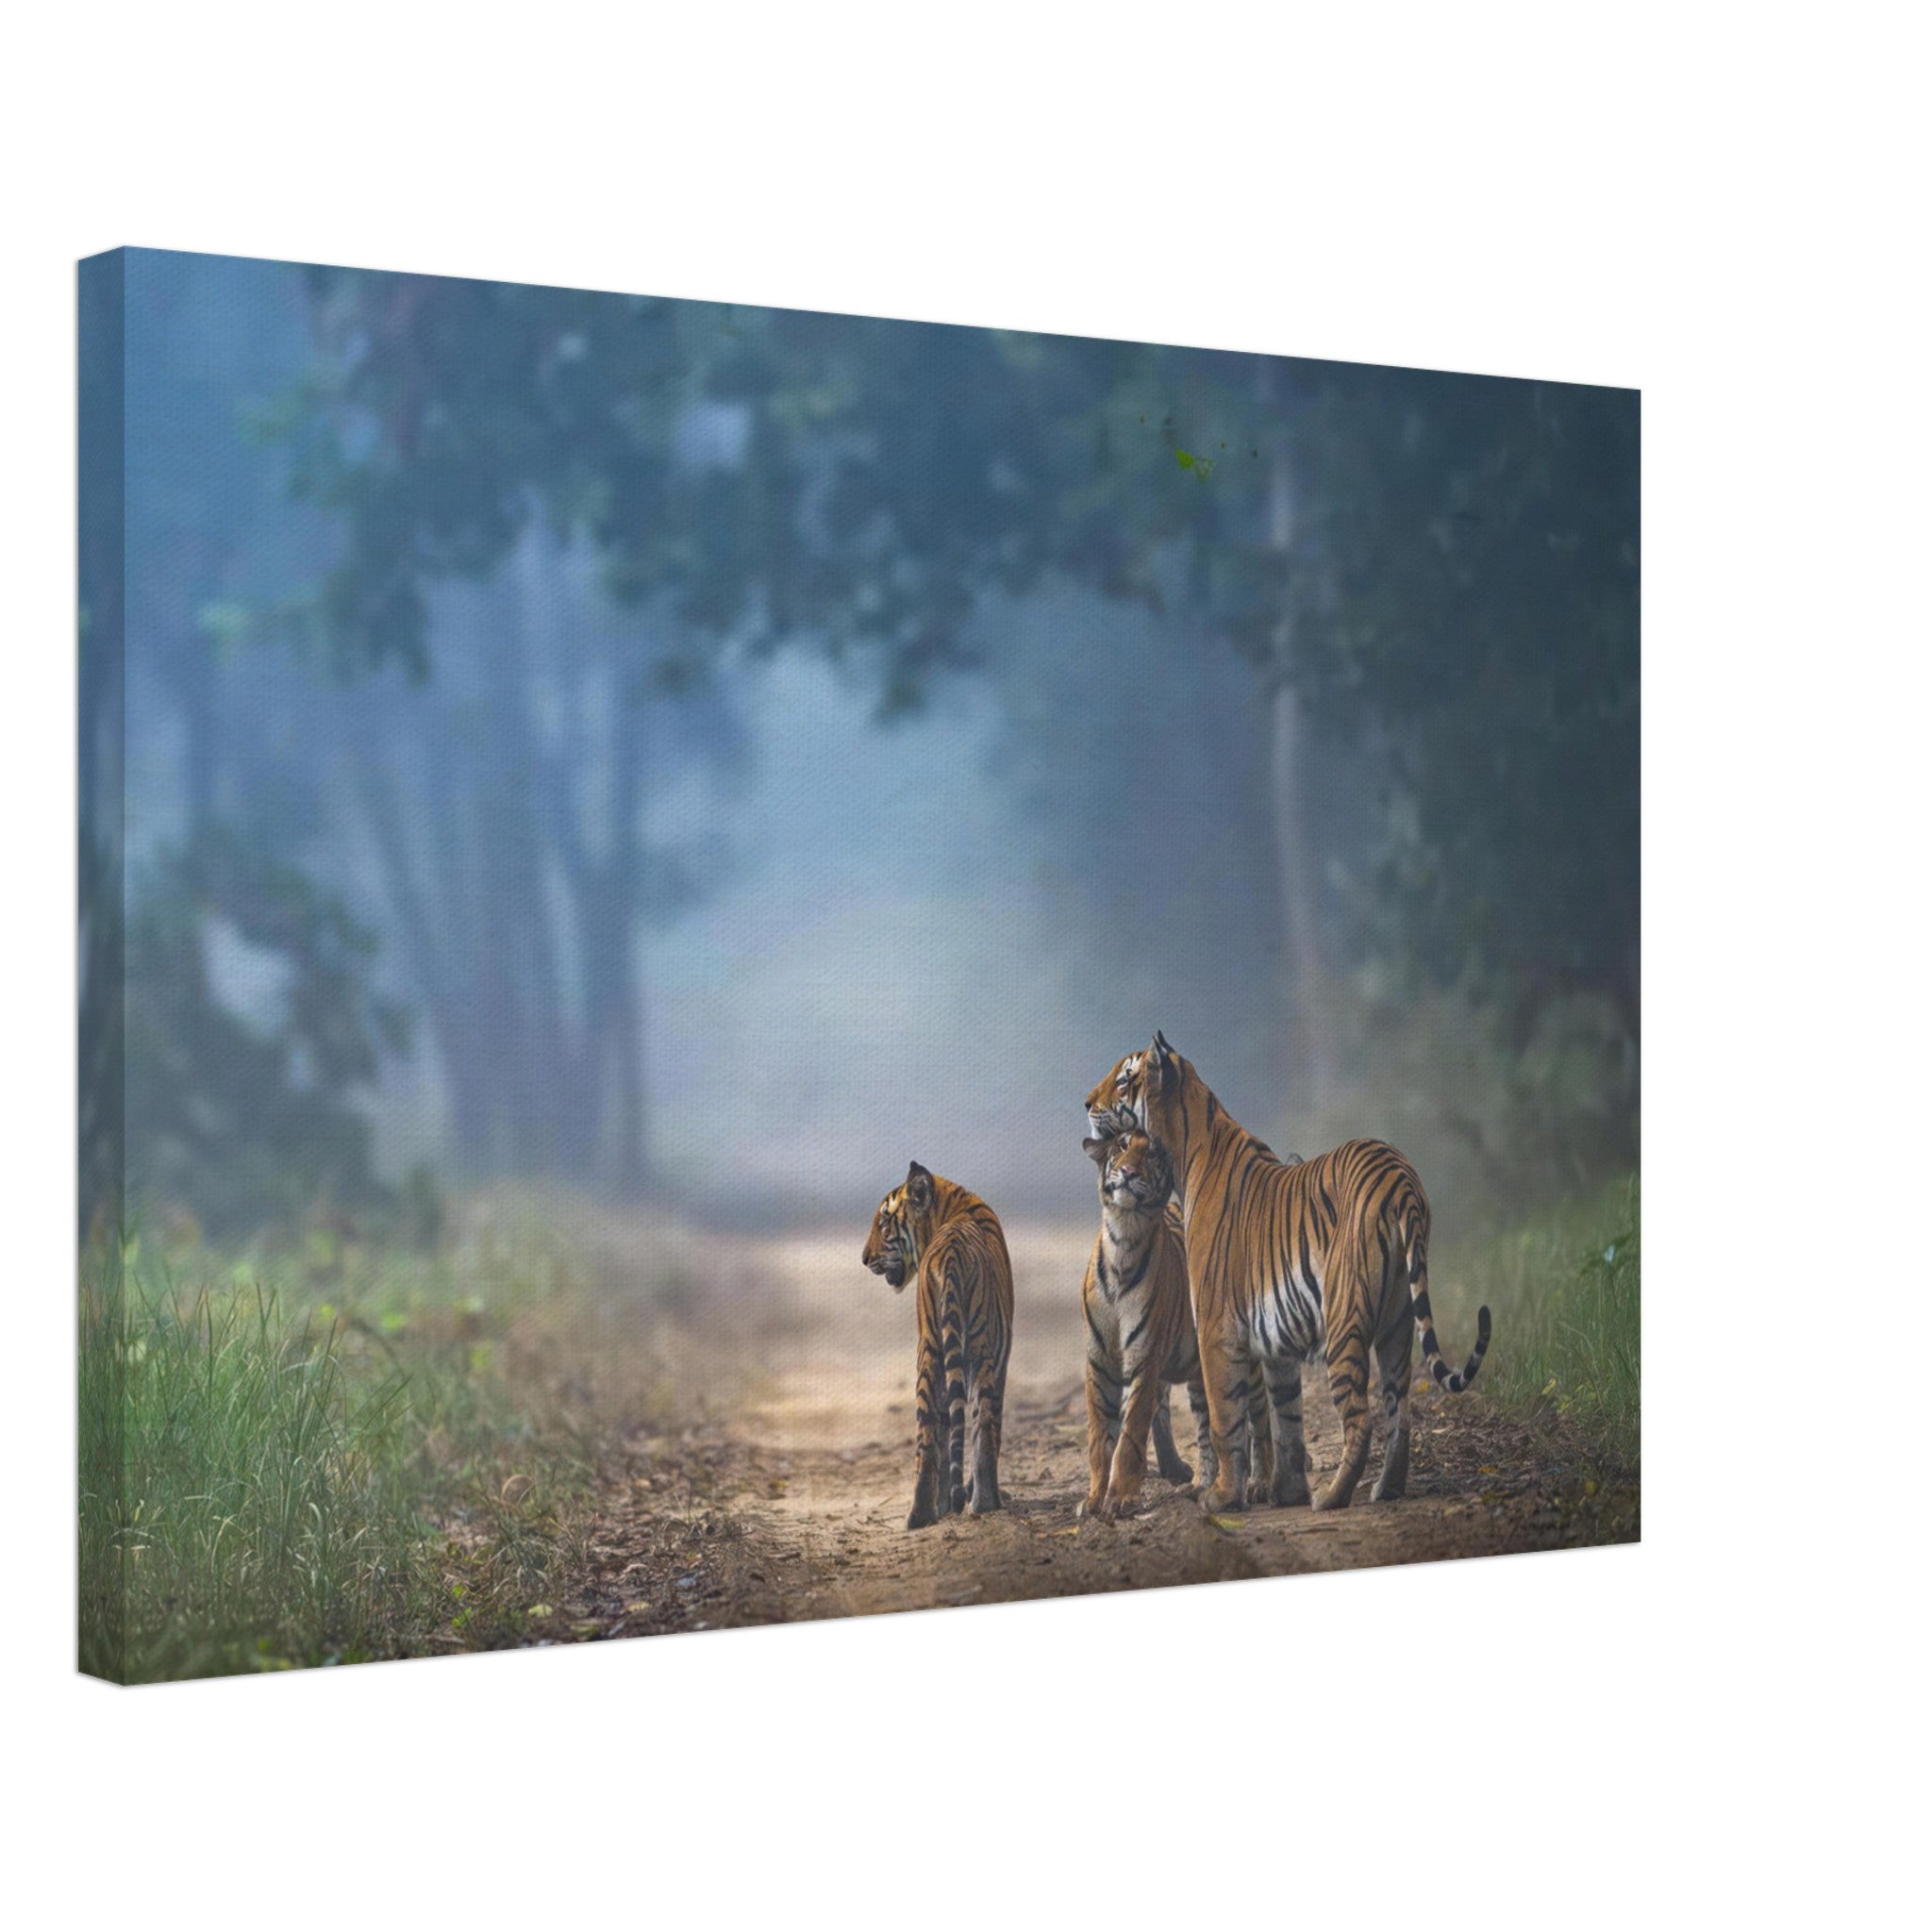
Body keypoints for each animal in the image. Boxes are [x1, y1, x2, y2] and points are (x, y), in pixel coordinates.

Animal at [862, 1161, 1015, 1530]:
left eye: (883, 1224)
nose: (864, 1258)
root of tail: (950, 1253)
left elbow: (947, 1432)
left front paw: (947, 1504)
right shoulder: (1001, 1358)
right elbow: (990, 1428)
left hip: (929, 1351)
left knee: (928, 1437)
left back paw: (919, 1516)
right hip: (981, 1351)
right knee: (983, 1426)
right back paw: (986, 1503)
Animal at [1078, 1127, 1276, 1518]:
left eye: (1152, 1155)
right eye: (1121, 1147)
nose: (1128, 1172)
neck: (1124, 1236)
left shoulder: (1144, 1360)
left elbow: (1130, 1434)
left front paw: (1121, 1498)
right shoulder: (1100, 1363)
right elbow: (1100, 1437)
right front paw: (1093, 1499)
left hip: (1245, 1360)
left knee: (1259, 1417)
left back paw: (1260, 1483)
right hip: (1199, 1374)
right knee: (1205, 1427)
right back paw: (1200, 1484)